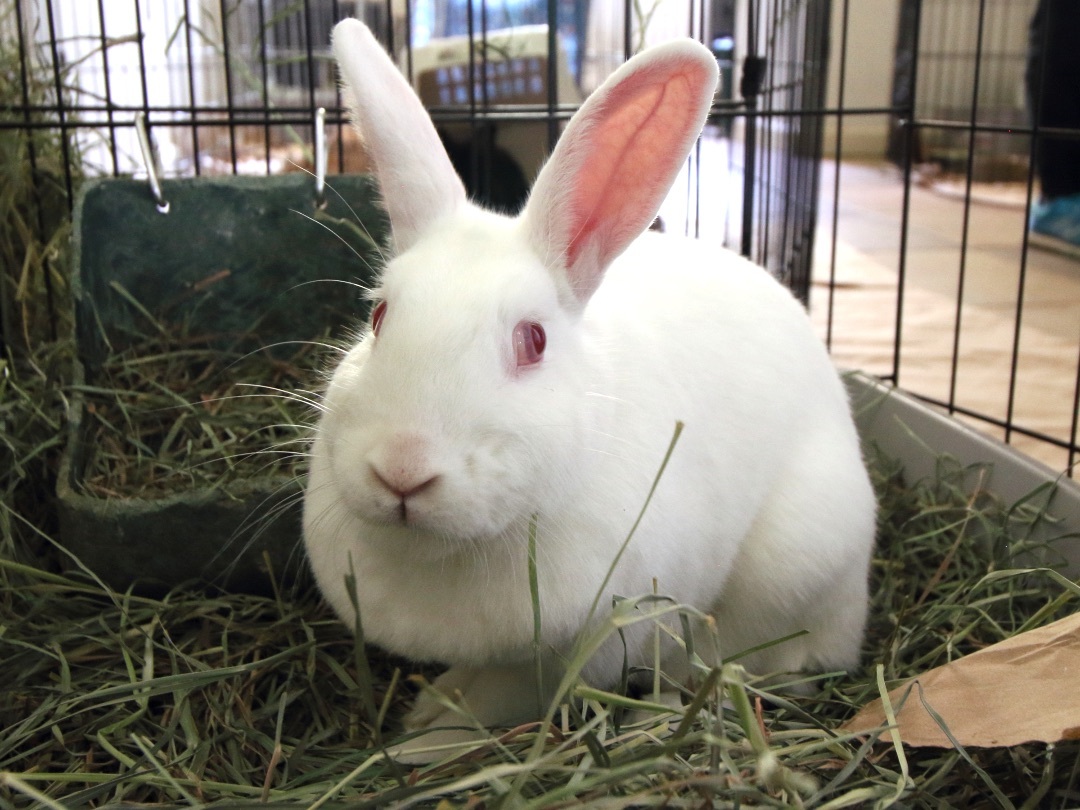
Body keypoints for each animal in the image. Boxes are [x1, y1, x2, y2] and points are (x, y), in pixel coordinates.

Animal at [303, 18, 877, 759]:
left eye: (533, 341)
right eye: (378, 318)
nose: (402, 471)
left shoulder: (581, 650)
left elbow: (500, 697)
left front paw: (426, 737)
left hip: (794, 567)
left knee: (762, 664)